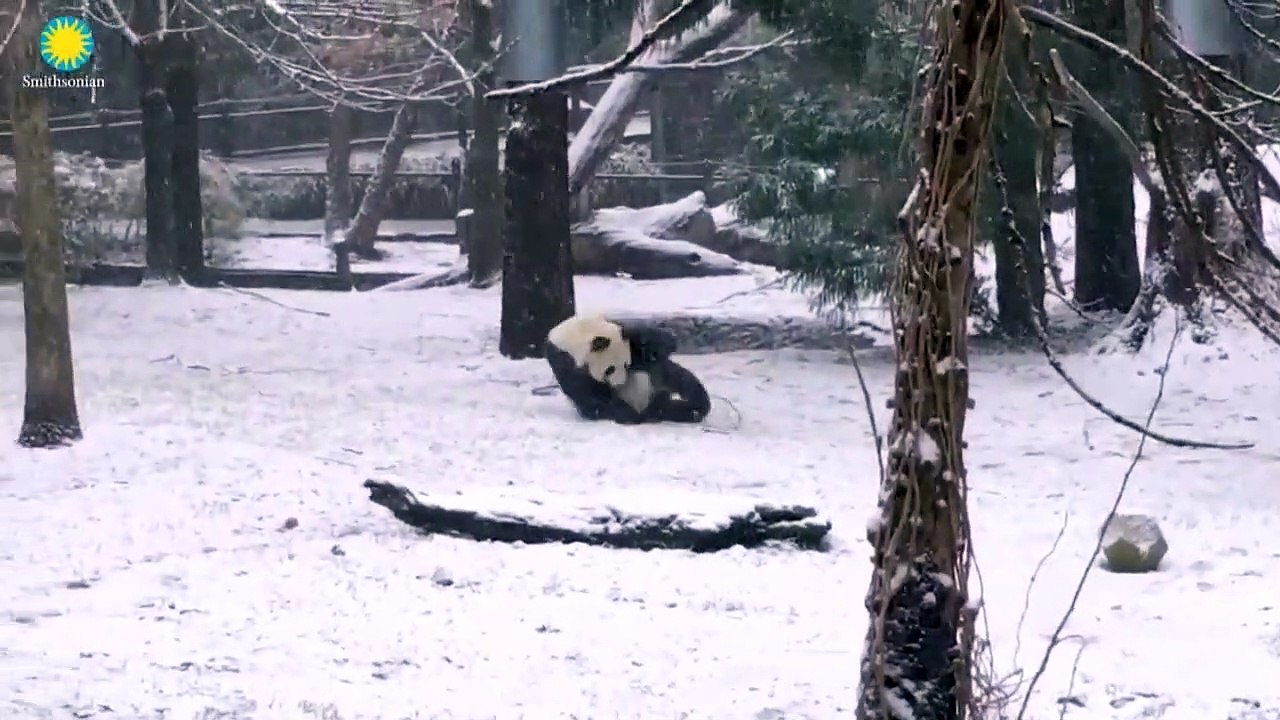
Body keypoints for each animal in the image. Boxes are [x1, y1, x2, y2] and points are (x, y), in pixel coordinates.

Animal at [544, 313, 711, 425]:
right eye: (609, 369)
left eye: (626, 364)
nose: (619, 384)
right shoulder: (563, 360)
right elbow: (587, 393)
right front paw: (627, 414)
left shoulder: (625, 336)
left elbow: (661, 343)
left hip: (660, 386)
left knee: (676, 378)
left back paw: (694, 407)